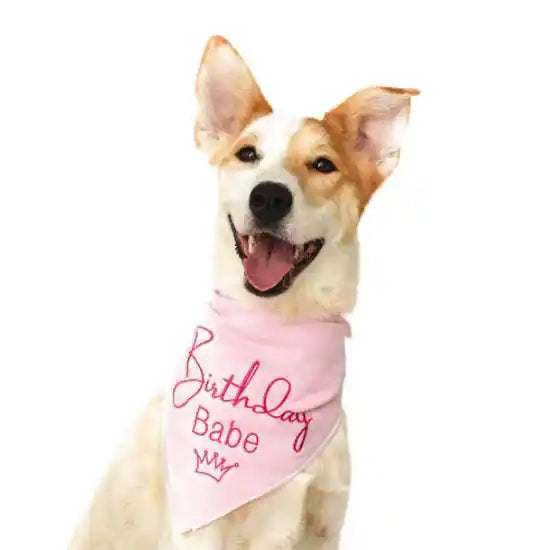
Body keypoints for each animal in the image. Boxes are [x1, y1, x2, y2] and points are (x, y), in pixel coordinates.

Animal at [71, 35, 420, 550]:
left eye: (323, 165)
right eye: (247, 155)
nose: (269, 196)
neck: (276, 328)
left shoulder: (325, 524)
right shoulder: (201, 530)